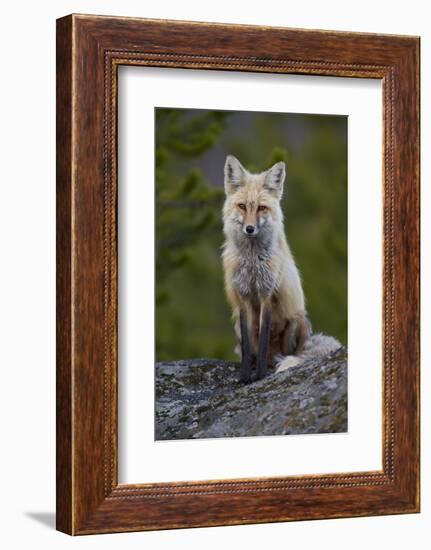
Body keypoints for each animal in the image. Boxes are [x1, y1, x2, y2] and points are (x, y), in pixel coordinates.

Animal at [223, 153, 340, 382]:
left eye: (261, 208)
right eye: (242, 206)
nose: (250, 228)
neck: (252, 261)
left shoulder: (267, 294)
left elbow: (262, 340)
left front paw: (259, 376)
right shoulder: (242, 296)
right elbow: (249, 346)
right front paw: (245, 376)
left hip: (296, 320)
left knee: (288, 353)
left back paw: (275, 363)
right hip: (238, 326)